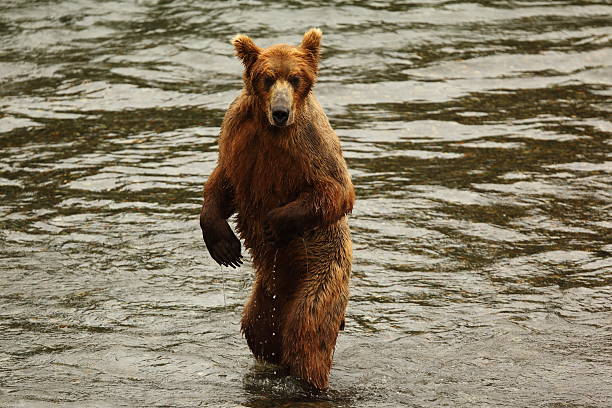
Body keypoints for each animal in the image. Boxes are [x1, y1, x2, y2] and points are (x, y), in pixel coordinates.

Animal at [201, 27, 354, 388]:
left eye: (296, 78)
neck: (270, 130)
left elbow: (336, 189)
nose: (281, 112)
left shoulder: (310, 144)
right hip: (265, 299)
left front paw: (274, 223)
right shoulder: (238, 136)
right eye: (267, 78)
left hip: (321, 270)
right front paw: (224, 246)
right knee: (259, 333)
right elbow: (223, 181)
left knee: (308, 332)